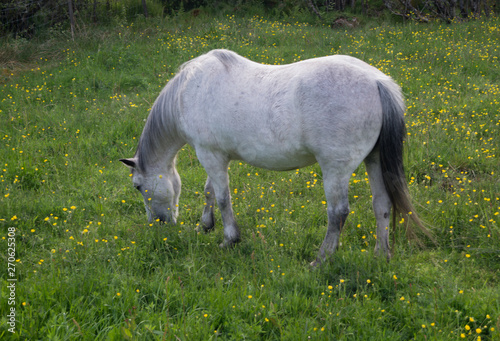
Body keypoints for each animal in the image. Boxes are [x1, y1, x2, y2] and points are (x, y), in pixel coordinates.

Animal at [119, 49, 428, 264]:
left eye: (137, 186)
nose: (159, 224)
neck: (189, 89)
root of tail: (377, 81)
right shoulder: (216, 156)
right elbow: (210, 192)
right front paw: (205, 227)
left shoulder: (210, 155)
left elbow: (222, 198)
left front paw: (229, 239)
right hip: (374, 161)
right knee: (382, 205)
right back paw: (381, 256)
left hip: (335, 170)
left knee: (338, 213)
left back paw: (321, 260)